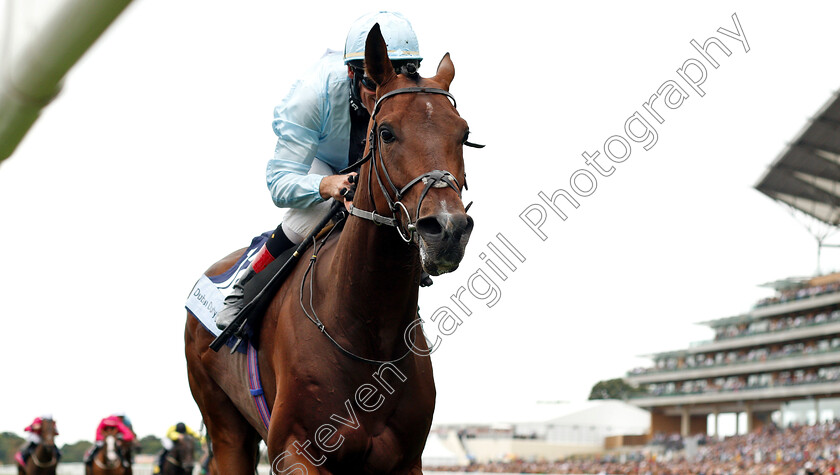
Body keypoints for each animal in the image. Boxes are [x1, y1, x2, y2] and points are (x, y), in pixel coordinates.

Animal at [185, 25, 472, 475]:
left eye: (464, 134)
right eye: (386, 132)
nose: (447, 229)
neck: (366, 332)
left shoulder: (407, 460)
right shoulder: (295, 449)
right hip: (226, 427)